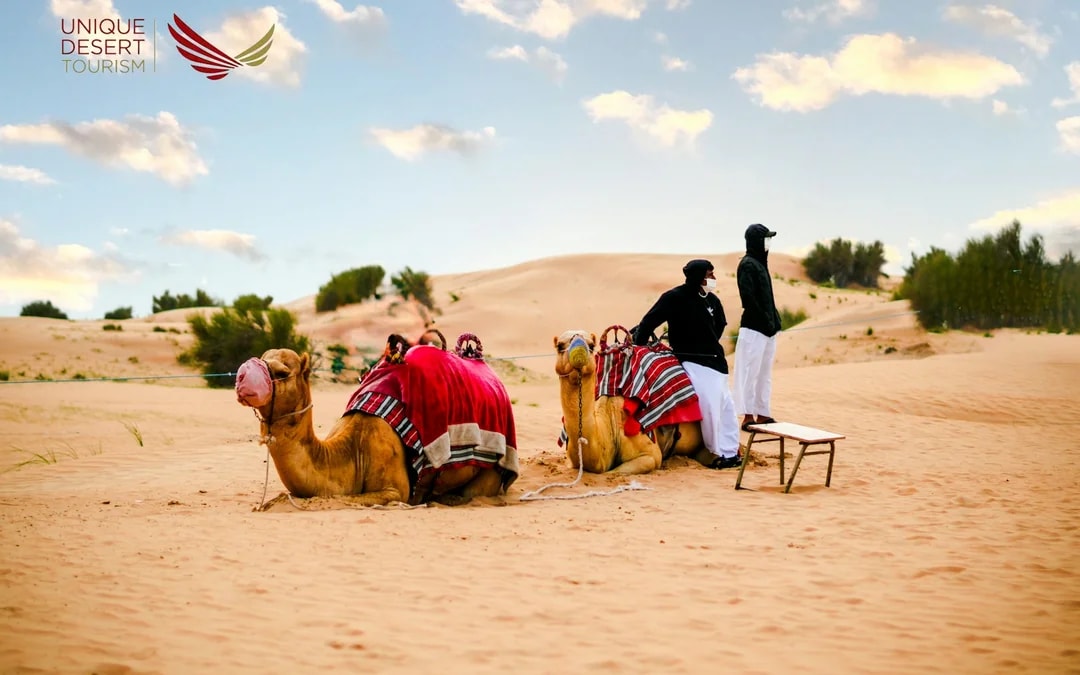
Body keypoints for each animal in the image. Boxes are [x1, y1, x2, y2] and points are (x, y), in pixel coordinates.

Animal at [236, 340, 519, 508]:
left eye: (283, 372)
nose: (241, 377)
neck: (351, 449)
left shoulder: (394, 489)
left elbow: (351, 499)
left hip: (494, 465)